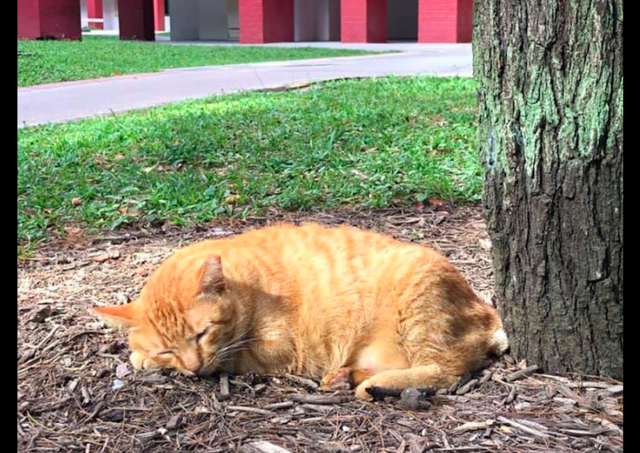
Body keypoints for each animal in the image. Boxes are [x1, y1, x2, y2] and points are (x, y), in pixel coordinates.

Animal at [92, 222, 508, 400]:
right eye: (168, 348)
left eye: (202, 334)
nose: (193, 369)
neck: (247, 284)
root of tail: (487, 311)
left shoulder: (276, 352)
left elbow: (231, 359)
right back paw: (346, 377)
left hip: (420, 306)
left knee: (446, 371)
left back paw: (371, 386)